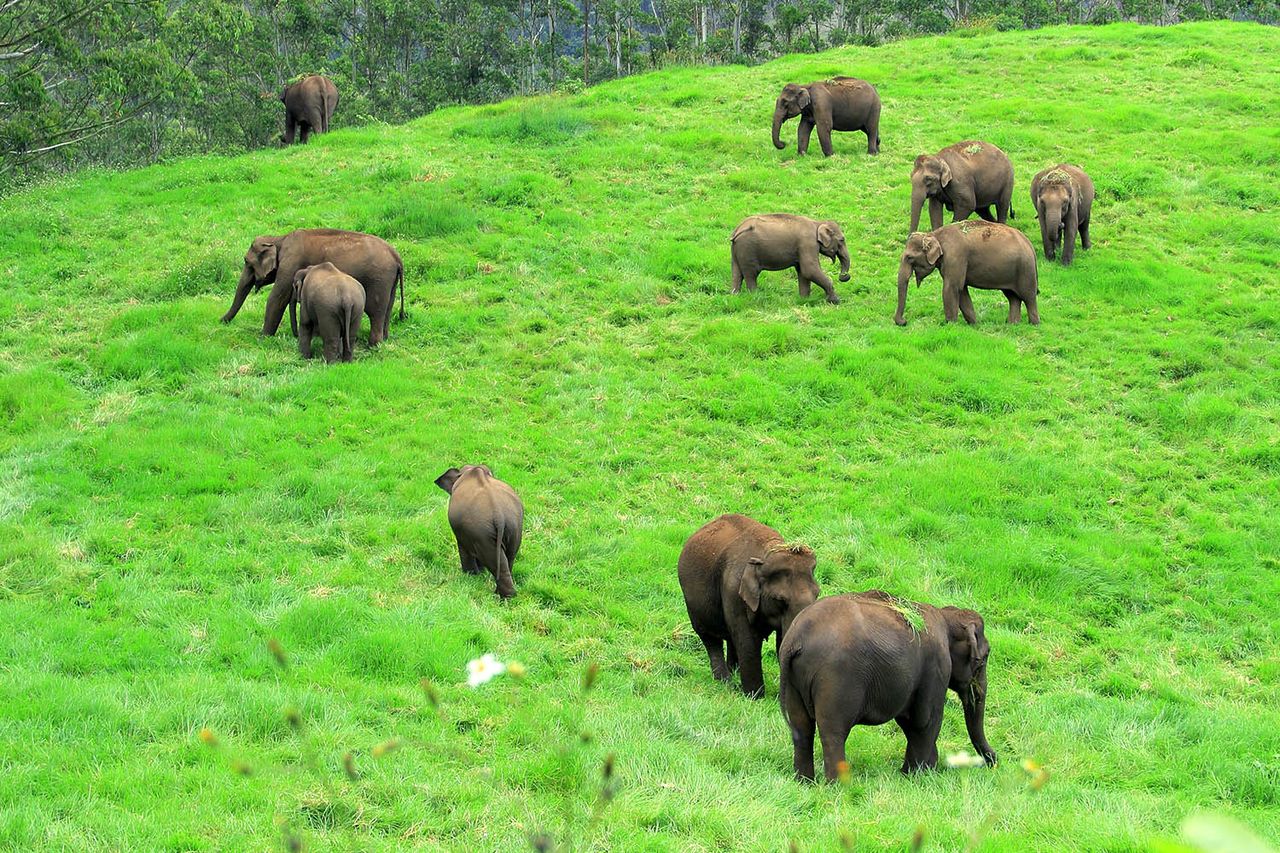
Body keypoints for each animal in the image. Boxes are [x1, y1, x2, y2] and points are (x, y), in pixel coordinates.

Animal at [221, 229, 403, 346]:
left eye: (246, 261)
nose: (220, 321)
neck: (279, 239)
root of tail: (396, 256)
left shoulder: (290, 262)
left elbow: (277, 298)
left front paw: (263, 338)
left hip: (379, 280)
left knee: (375, 312)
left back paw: (373, 346)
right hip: (390, 282)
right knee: (387, 310)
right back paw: (384, 340)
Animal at [435, 465, 524, 599]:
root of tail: (499, 514)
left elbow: (464, 548)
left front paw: (471, 576)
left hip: (482, 532)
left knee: (492, 558)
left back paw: (502, 597)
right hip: (514, 528)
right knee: (509, 558)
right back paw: (505, 596)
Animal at [677, 513, 821, 699]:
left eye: (817, 594)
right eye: (779, 599)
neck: (766, 552)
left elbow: (781, 640)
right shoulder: (733, 591)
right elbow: (747, 640)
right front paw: (755, 697)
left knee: (731, 637)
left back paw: (735, 672)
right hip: (694, 604)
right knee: (711, 639)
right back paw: (725, 682)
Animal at [779, 590, 997, 781]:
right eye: (984, 658)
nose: (994, 761)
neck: (946, 617)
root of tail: (795, 639)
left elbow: (908, 720)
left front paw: (910, 774)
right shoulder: (937, 667)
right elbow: (926, 721)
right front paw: (920, 777)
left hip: (793, 680)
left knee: (801, 728)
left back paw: (805, 782)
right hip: (836, 677)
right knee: (833, 732)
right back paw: (838, 786)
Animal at [894, 221, 1039, 326]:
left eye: (909, 258)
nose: (904, 322)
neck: (934, 234)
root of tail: (1030, 245)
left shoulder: (955, 256)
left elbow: (951, 288)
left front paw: (949, 325)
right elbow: (962, 290)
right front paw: (974, 324)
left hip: (1026, 270)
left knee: (1028, 297)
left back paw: (1033, 324)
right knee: (1013, 297)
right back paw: (1012, 324)